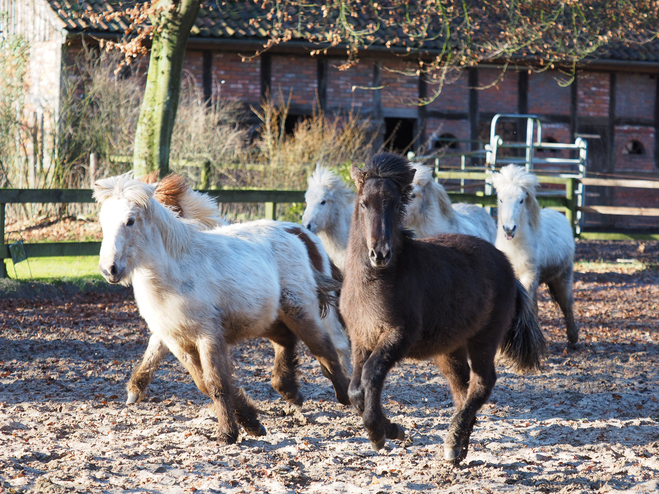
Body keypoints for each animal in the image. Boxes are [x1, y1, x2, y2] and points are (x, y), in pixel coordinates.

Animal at [93, 175, 354, 444]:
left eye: (130, 221)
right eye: (103, 221)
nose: (109, 269)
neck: (175, 273)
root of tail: (295, 236)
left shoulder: (208, 336)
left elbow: (217, 383)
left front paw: (228, 433)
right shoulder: (176, 341)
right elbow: (203, 383)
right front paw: (251, 422)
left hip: (299, 311)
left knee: (324, 347)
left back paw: (345, 394)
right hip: (265, 318)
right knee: (285, 339)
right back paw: (290, 391)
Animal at [340, 152, 548, 466]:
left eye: (396, 203)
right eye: (364, 203)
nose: (380, 254)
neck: (378, 281)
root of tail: (506, 266)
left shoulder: (398, 336)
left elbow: (372, 375)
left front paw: (381, 433)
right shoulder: (361, 338)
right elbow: (355, 390)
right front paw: (392, 429)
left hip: (484, 338)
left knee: (482, 382)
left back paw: (452, 442)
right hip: (450, 349)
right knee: (463, 389)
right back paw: (458, 447)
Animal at [490, 164, 576, 346]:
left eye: (521, 200)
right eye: (500, 199)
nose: (509, 229)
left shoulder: (529, 277)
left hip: (562, 277)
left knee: (566, 305)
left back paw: (573, 338)